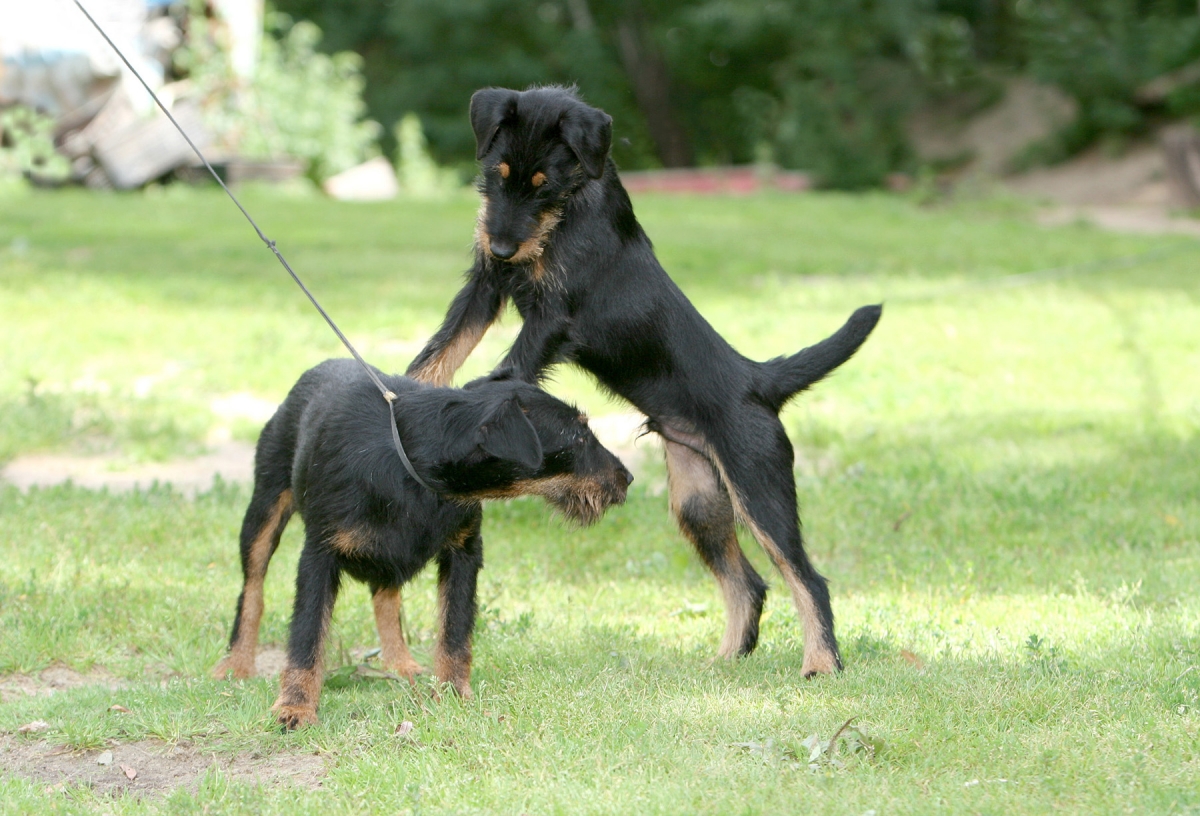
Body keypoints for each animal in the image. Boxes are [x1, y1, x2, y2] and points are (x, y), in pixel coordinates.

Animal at [408, 84, 888, 676]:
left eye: (544, 185)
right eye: (496, 175)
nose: (500, 245)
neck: (572, 207)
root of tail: (757, 380)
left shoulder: (552, 319)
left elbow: (503, 374)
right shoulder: (486, 287)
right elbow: (438, 352)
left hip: (760, 488)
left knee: (806, 577)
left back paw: (821, 663)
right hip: (699, 502)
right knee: (748, 583)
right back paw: (725, 660)